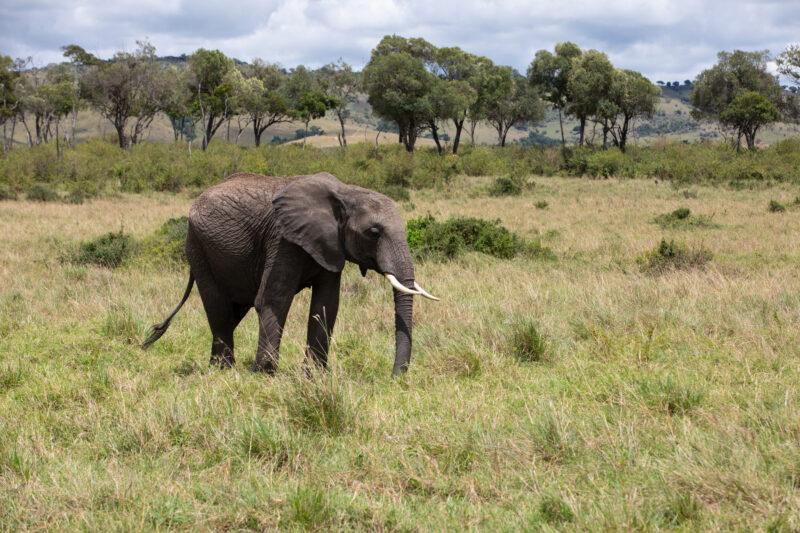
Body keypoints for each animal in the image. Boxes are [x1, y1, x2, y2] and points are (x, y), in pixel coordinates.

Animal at [142, 171, 438, 376]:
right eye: (374, 233)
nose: (394, 376)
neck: (344, 192)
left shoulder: (329, 245)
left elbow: (326, 305)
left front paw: (314, 376)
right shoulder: (282, 240)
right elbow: (274, 299)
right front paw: (264, 373)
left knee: (233, 312)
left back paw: (216, 366)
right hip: (197, 246)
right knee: (218, 307)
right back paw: (224, 369)